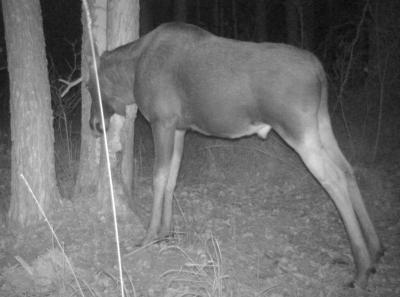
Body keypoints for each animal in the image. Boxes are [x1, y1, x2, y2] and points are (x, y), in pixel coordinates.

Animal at [86, 22, 382, 286]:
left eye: (91, 86)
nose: (94, 125)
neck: (131, 76)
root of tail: (321, 72)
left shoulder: (162, 121)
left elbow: (158, 179)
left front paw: (149, 236)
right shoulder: (180, 127)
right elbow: (171, 179)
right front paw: (167, 231)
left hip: (298, 128)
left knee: (333, 178)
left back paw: (361, 268)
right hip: (321, 122)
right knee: (347, 168)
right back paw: (376, 250)